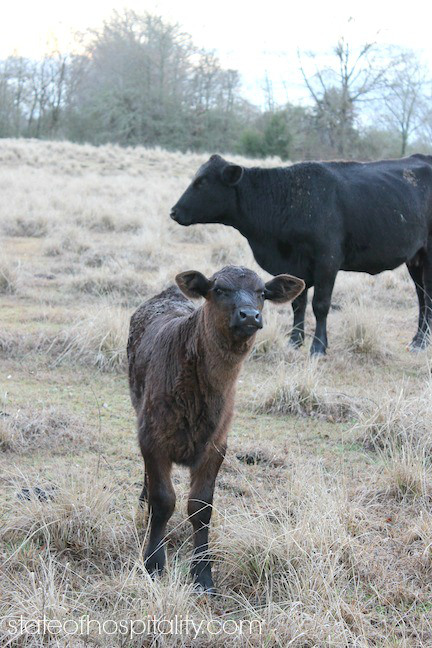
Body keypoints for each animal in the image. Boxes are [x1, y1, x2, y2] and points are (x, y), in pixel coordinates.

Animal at [127, 266, 304, 593]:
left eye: (262, 293)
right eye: (219, 289)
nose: (249, 315)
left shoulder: (216, 445)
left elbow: (201, 507)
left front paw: (203, 574)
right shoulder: (153, 438)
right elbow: (163, 500)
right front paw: (154, 564)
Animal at [170, 154, 432, 355]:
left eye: (202, 182)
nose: (174, 212)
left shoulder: (327, 261)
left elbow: (320, 304)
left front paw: (318, 347)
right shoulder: (294, 266)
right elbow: (298, 304)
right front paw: (295, 341)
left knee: (427, 298)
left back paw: (421, 342)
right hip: (415, 260)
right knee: (421, 298)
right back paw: (419, 339)